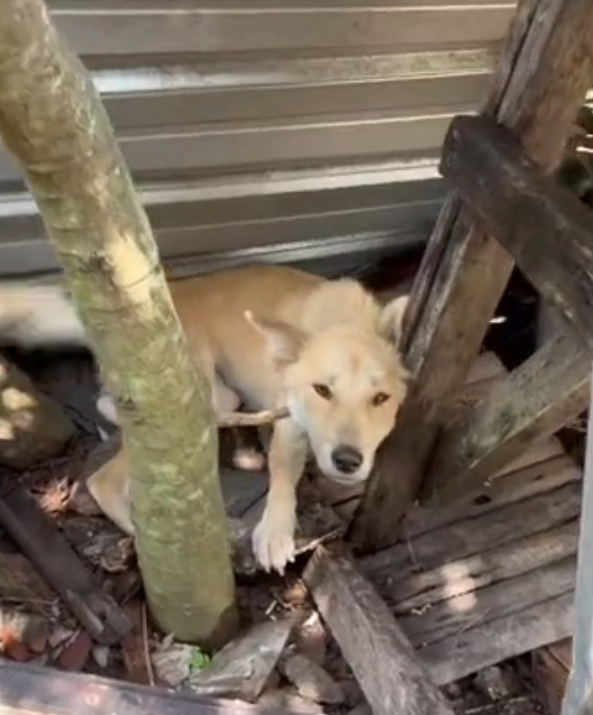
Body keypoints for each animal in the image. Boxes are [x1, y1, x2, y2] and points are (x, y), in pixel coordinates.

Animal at [0, 264, 410, 574]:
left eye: (380, 399)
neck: (342, 320)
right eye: (322, 390)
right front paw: (275, 531)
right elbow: (282, 475)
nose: (348, 460)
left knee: (105, 403)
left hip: (213, 399)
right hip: (188, 406)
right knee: (104, 480)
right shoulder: (290, 425)